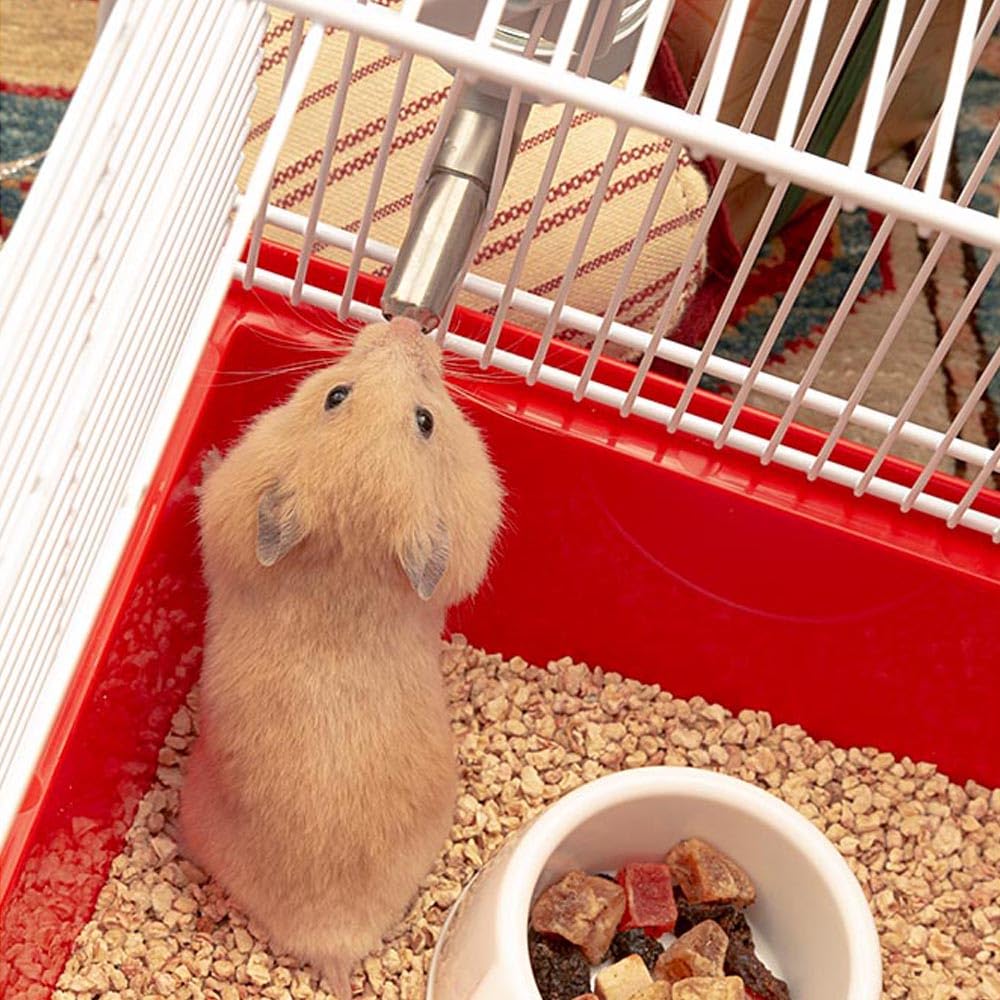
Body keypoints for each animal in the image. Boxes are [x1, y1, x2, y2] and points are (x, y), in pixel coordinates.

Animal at [179, 317, 503, 995]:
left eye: (425, 420)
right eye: (337, 396)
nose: (404, 324)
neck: (350, 554)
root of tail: (335, 945)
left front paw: (205, 458)